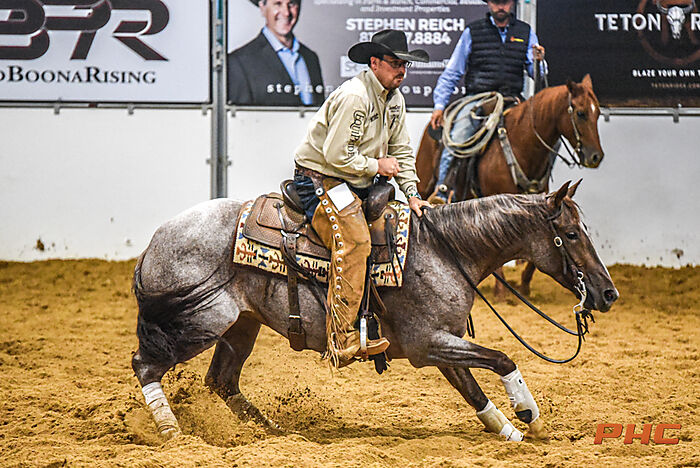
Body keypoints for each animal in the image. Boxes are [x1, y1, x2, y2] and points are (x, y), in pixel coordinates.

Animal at [131, 181, 618, 442]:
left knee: (222, 381)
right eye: (572, 234)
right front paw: (528, 414)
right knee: (145, 365)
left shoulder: (444, 343)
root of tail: (153, 242)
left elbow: (474, 393)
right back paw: (172, 431)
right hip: (199, 324)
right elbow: (502, 359)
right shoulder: (428, 345)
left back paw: (276, 433)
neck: (444, 250)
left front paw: (512, 434)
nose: (608, 293)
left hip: (240, 326)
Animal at [415, 75, 605, 299]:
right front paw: (501, 291)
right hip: (425, 180)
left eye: (598, 113)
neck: (523, 146)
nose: (596, 156)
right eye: (581, 113)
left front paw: (524, 285)